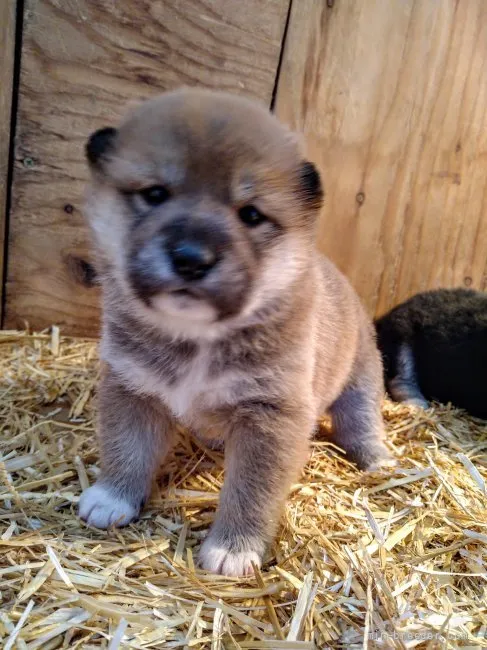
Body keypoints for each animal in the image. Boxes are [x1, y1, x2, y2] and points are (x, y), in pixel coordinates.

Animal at [79, 88, 392, 576]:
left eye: (250, 214)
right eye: (155, 194)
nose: (192, 258)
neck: (197, 338)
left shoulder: (271, 416)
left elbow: (251, 491)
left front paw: (233, 547)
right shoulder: (133, 388)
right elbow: (126, 448)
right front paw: (113, 498)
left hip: (359, 380)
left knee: (361, 421)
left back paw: (376, 460)